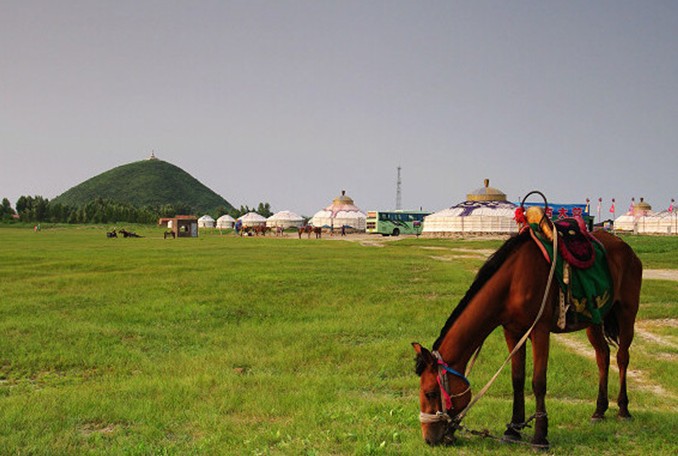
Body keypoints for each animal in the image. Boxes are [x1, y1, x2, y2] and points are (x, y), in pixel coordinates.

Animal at [414, 219, 644, 448]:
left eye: (430, 393)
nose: (429, 438)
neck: (513, 282)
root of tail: (625, 246)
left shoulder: (540, 331)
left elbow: (538, 382)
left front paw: (540, 436)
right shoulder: (512, 332)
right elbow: (517, 379)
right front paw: (513, 429)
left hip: (627, 313)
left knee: (622, 357)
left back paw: (623, 409)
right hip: (594, 320)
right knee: (602, 357)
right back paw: (599, 410)